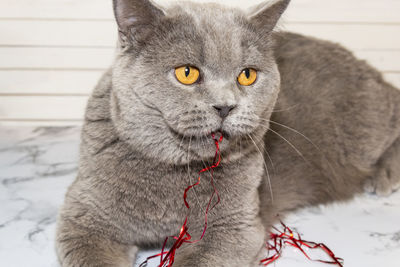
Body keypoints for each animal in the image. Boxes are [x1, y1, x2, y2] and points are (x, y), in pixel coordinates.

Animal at [55, 0, 400, 266]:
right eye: (187, 73)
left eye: (247, 75)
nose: (225, 106)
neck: (178, 175)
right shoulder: (84, 218)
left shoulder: (235, 227)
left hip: (361, 127)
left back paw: (384, 174)